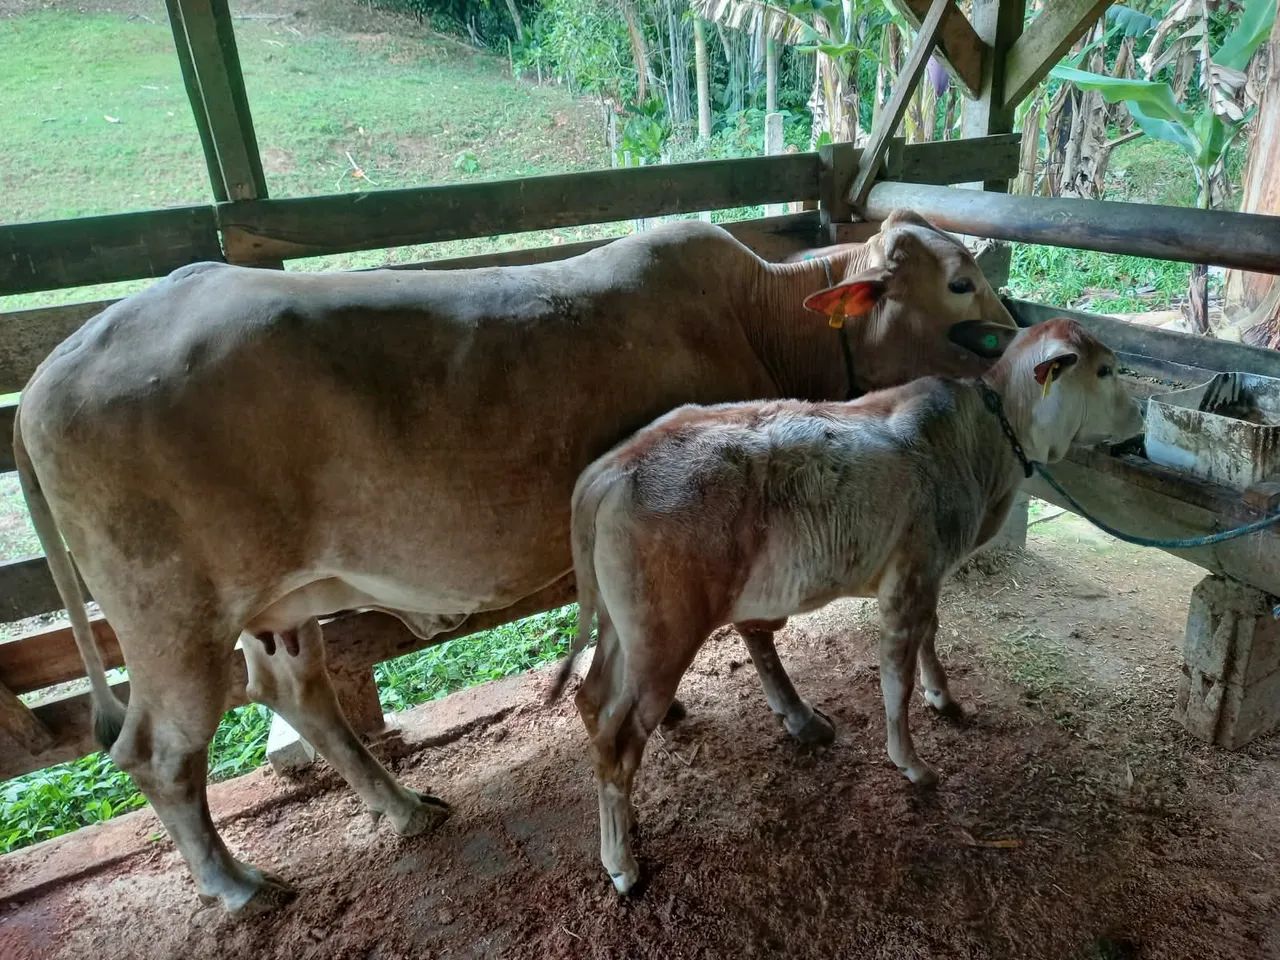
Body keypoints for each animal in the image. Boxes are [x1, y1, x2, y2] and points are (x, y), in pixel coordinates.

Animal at [15, 209, 1016, 914]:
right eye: (962, 282)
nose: (1018, 335)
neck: (762, 318)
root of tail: (45, 375)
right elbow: (757, 633)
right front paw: (796, 717)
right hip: (171, 619)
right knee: (159, 753)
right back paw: (238, 885)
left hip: (279, 603)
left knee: (297, 694)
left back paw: (404, 808)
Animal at [551, 318, 1143, 895]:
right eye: (1106, 370)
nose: (1139, 424)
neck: (983, 441)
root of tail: (610, 469)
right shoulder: (911, 577)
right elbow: (895, 678)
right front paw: (911, 763)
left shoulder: (926, 573)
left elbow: (932, 632)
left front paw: (943, 697)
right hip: (663, 634)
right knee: (618, 736)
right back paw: (621, 864)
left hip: (622, 628)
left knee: (591, 702)